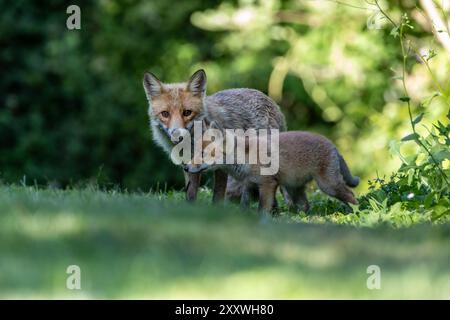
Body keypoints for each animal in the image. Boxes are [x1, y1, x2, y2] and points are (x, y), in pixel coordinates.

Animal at [142, 70, 286, 202]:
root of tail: (270, 100)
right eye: (165, 114)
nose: (178, 135)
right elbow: (190, 194)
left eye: (187, 112)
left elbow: (217, 196)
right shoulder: (188, 166)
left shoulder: (222, 165)